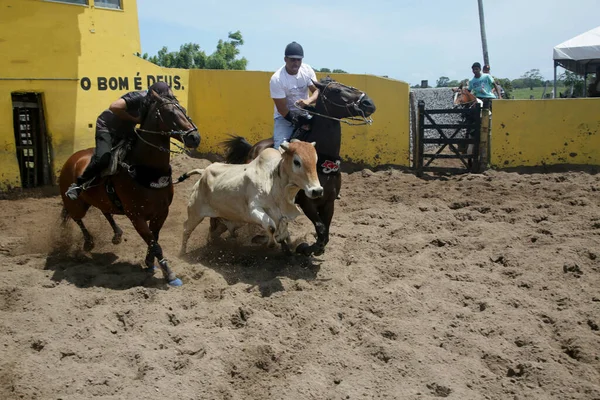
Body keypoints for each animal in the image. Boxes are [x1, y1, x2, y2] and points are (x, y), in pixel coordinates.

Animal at [58, 89, 200, 286]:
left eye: (184, 110)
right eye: (170, 113)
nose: (194, 137)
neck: (146, 170)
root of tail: (72, 159)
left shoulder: (161, 212)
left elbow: (154, 240)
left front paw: (150, 264)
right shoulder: (136, 216)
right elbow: (154, 244)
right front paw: (169, 274)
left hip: (100, 199)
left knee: (105, 211)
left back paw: (117, 234)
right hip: (77, 204)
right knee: (76, 217)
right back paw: (88, 241)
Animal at [177, 139, 324, 255]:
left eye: (315, 161)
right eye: (297, 162)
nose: (317, 190)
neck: (274, 182)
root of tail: (203, 172)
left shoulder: (282, 216)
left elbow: (283, 233)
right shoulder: (254, 209)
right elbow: (271, 227)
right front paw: (269, 243)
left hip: (223, 219)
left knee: (211, 233)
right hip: (195, 212)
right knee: (186, 229)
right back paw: (182, 254)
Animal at [220, 76, 376, 256]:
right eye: (336, 90)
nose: (368, 102)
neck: (322, 162)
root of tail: (254, 147)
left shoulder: (329, 202)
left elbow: (326, 232)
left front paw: (313, 248)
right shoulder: (307, 203)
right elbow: (321, 229)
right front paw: (306, 248)